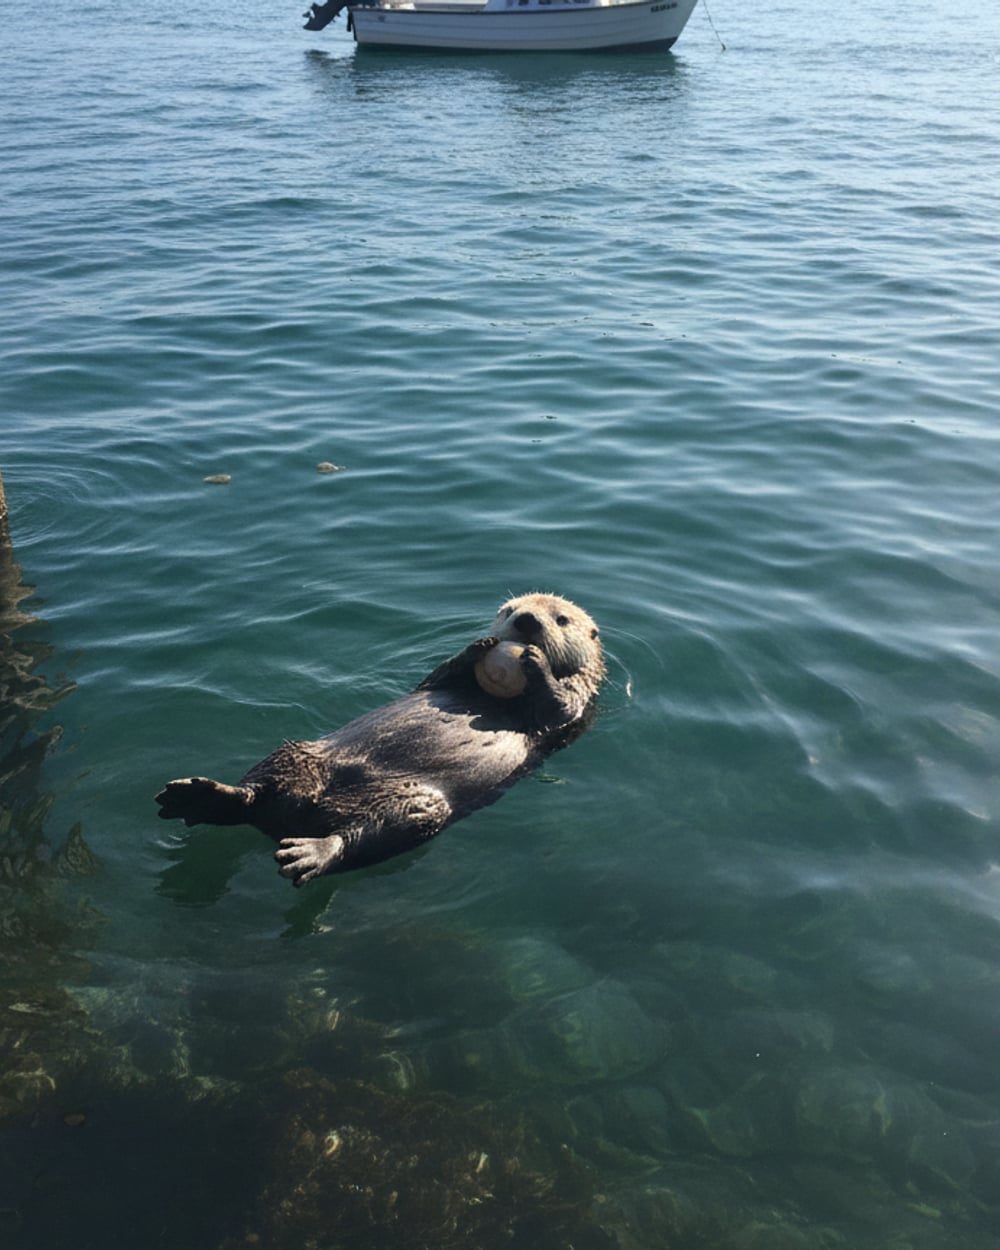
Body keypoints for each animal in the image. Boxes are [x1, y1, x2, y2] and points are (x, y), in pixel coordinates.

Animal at [155, 593, 605, 887]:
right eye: (510, 610)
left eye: (561, 619)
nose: (526, 621)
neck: (494, 696)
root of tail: (292, 819)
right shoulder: (441, 680)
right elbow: (440, 673)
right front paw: (480, 645)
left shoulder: (578, 704)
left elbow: (558, 706)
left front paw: (535, 661)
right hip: (296, 755)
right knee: (254, 793)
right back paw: (199, 797)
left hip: (415, 806)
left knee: (360, 839)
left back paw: (308, 855)